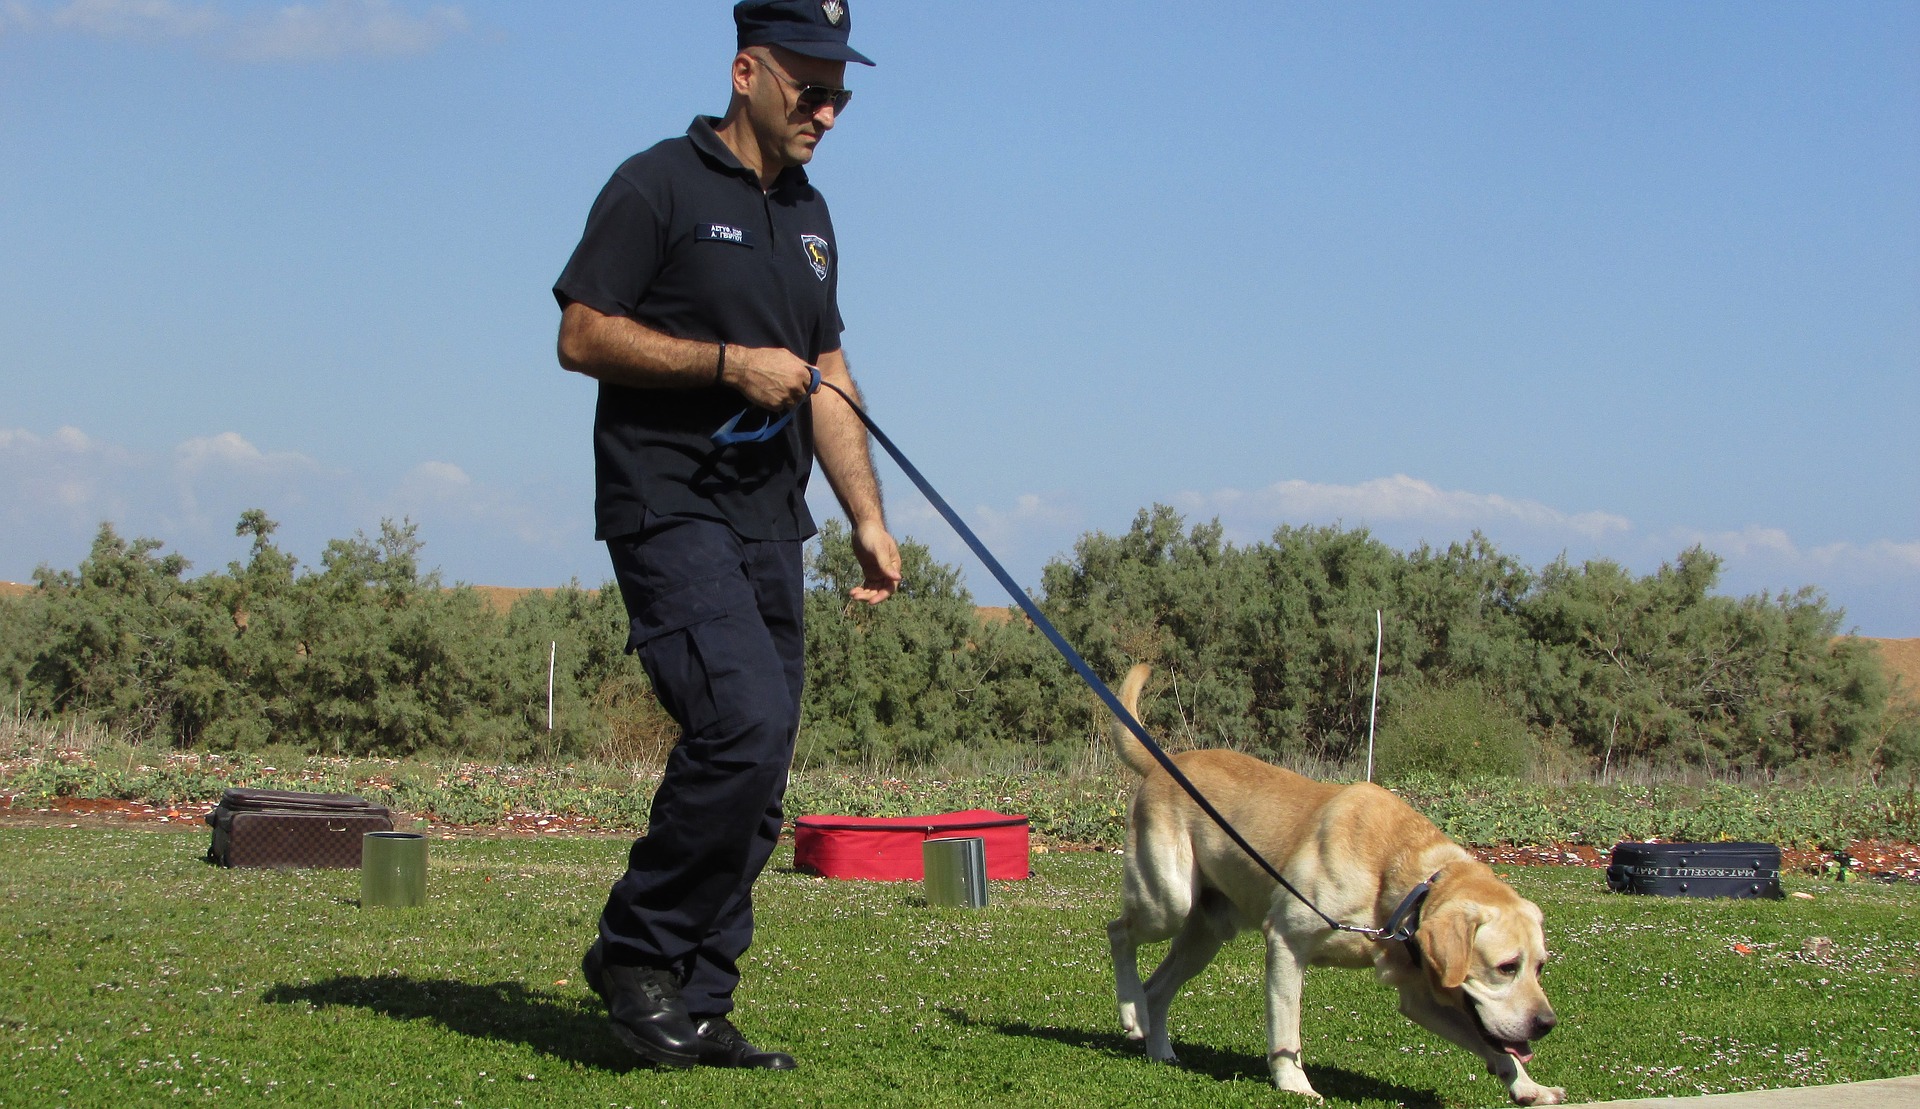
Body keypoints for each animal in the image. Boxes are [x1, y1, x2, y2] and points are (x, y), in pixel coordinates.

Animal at [1105, 660, 1566, 1097]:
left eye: (1540, 966)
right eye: (1506, 967)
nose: (1547, 1023)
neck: (1398, 881)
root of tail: (1164, 763)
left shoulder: (1420, 995)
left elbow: (1494, 1045)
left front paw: (1529, 1087)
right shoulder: (1286, 942)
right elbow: (1286, 1031)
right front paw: (1294, 1084)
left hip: (1206, 934)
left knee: (1156, 988)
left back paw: (1156, 1043)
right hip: (1168, 902)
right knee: (1119, 932)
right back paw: (1129, 1010)